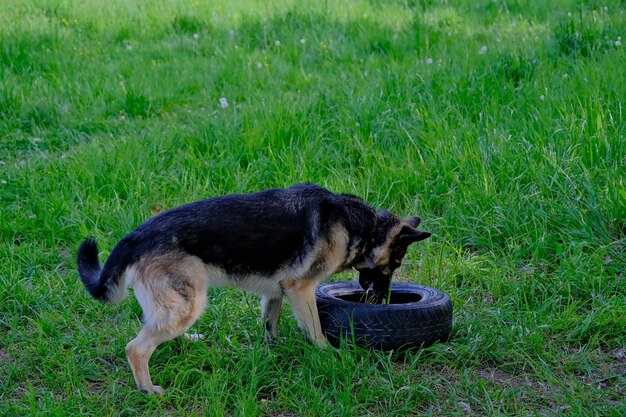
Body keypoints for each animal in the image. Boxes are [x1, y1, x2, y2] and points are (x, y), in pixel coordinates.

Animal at [77, 184, 428, 394]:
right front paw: (330, 356)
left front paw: (273, 353)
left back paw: (187, 341)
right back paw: (148, 390)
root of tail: (135, 237)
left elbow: (270, 325)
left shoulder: (276, 292)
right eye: (394, 264)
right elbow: (315, 330)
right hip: (190, 301)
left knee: (158, 329)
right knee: (136, 348)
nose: (383, 300)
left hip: (183, 303)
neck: (362, 226)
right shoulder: (300, 289)